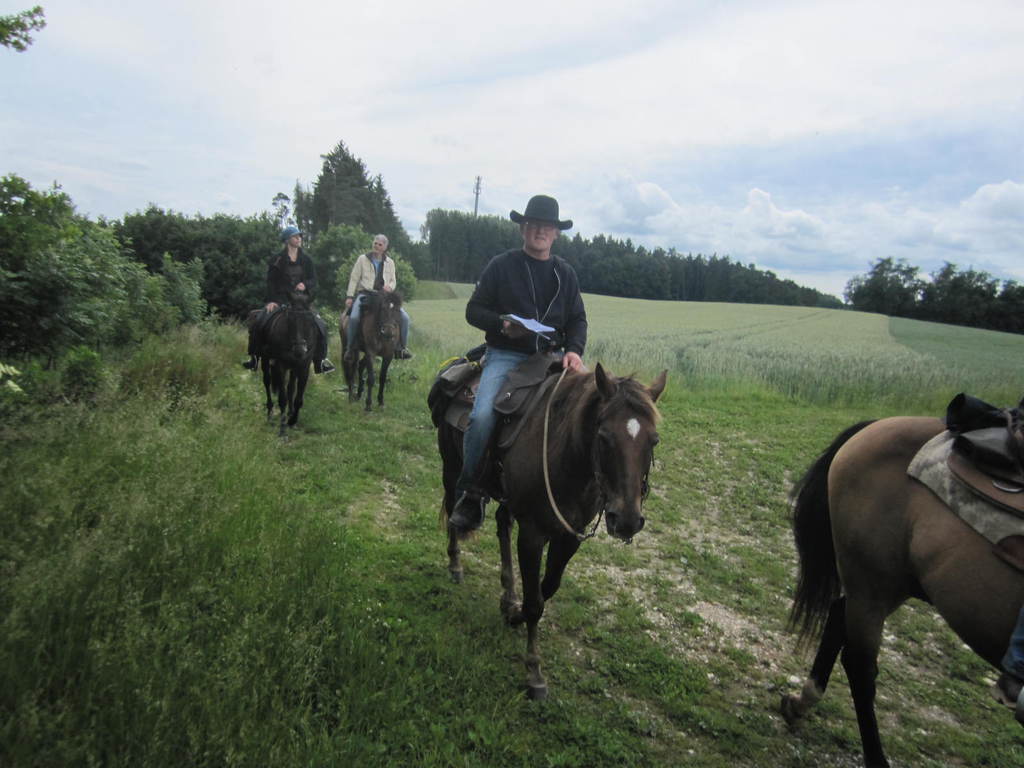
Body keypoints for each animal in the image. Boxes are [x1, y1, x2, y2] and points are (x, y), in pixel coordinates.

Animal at [259, 292, 318, 437]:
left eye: (309, 319)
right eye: (290, 319)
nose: (299, 350)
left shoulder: (304, 367)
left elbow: (298, 398)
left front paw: (293, 420)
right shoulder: (281, 367)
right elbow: (282, 399)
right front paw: (283, 430)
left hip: (293, 368)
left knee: (291, 387)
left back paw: (290, 413)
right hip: (266, 361)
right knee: (267, 382)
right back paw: (270, 414)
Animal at [437, 361, 667, 699]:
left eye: (653, 441)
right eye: (603, 437)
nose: (626, 520)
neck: (565, 454)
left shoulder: (570, 536)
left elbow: (547, 588)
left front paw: (513, 612)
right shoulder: (532, 534)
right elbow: (535, 603)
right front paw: (534, 673)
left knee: (502, 524)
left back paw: (508, 594)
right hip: (451, 466)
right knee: (454, 505)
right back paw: (455, 564)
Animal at [781, 416, 1024, 768]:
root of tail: (874, 426)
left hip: (896, 582)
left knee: (839, 615)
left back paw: (802, 703)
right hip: (874, 579)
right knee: (860, 665)